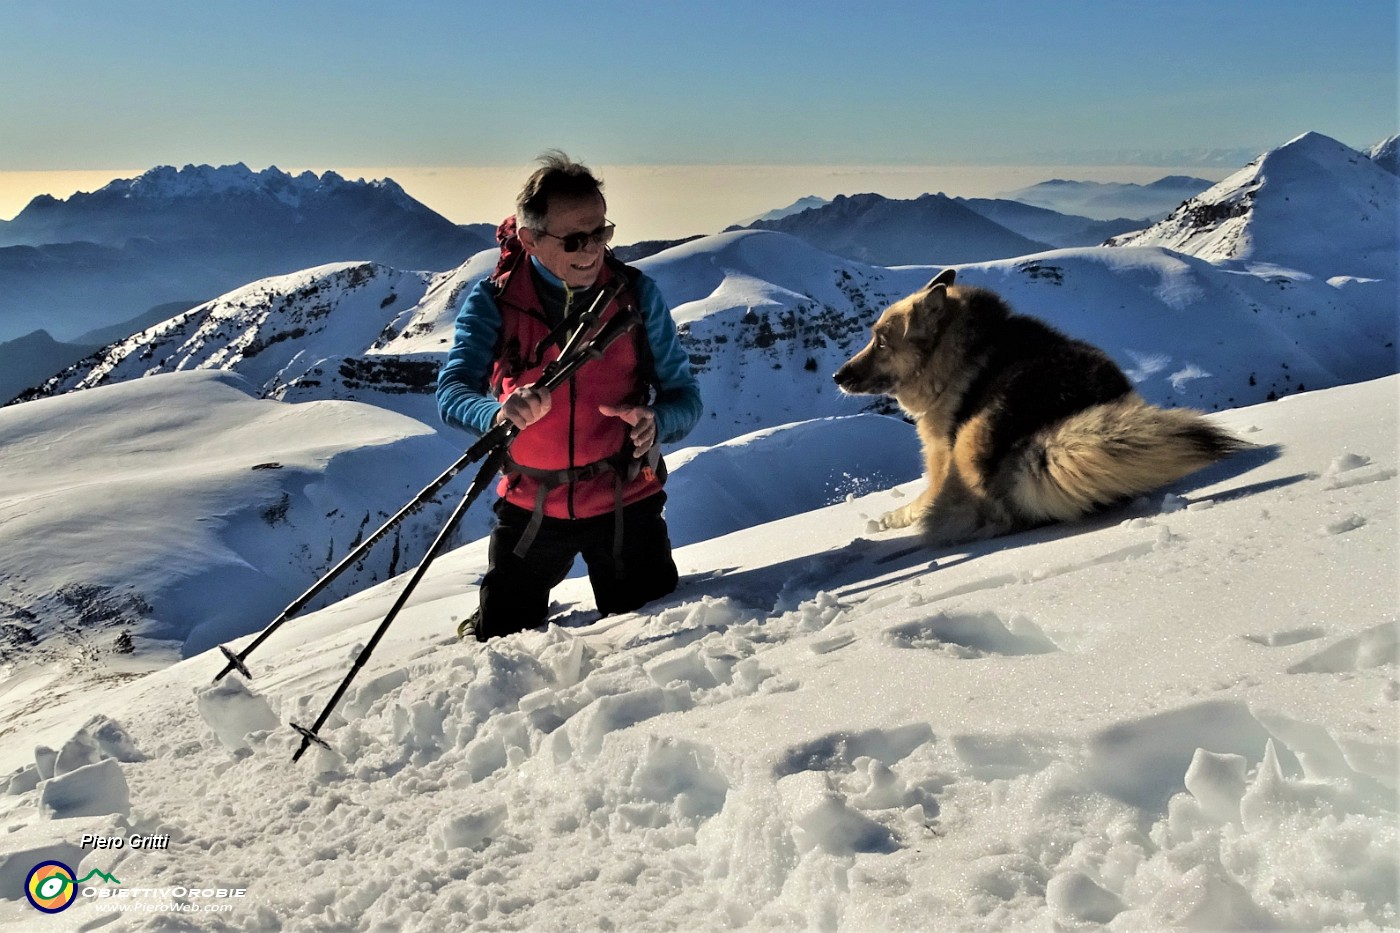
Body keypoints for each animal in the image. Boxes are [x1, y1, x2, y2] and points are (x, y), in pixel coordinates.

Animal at [828, 268, 1248, 546]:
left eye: (881, 342)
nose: (836, 376)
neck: (960, 354)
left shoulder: (939, 462)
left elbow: (918, 501)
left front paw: (893, 517)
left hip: (968, 441)